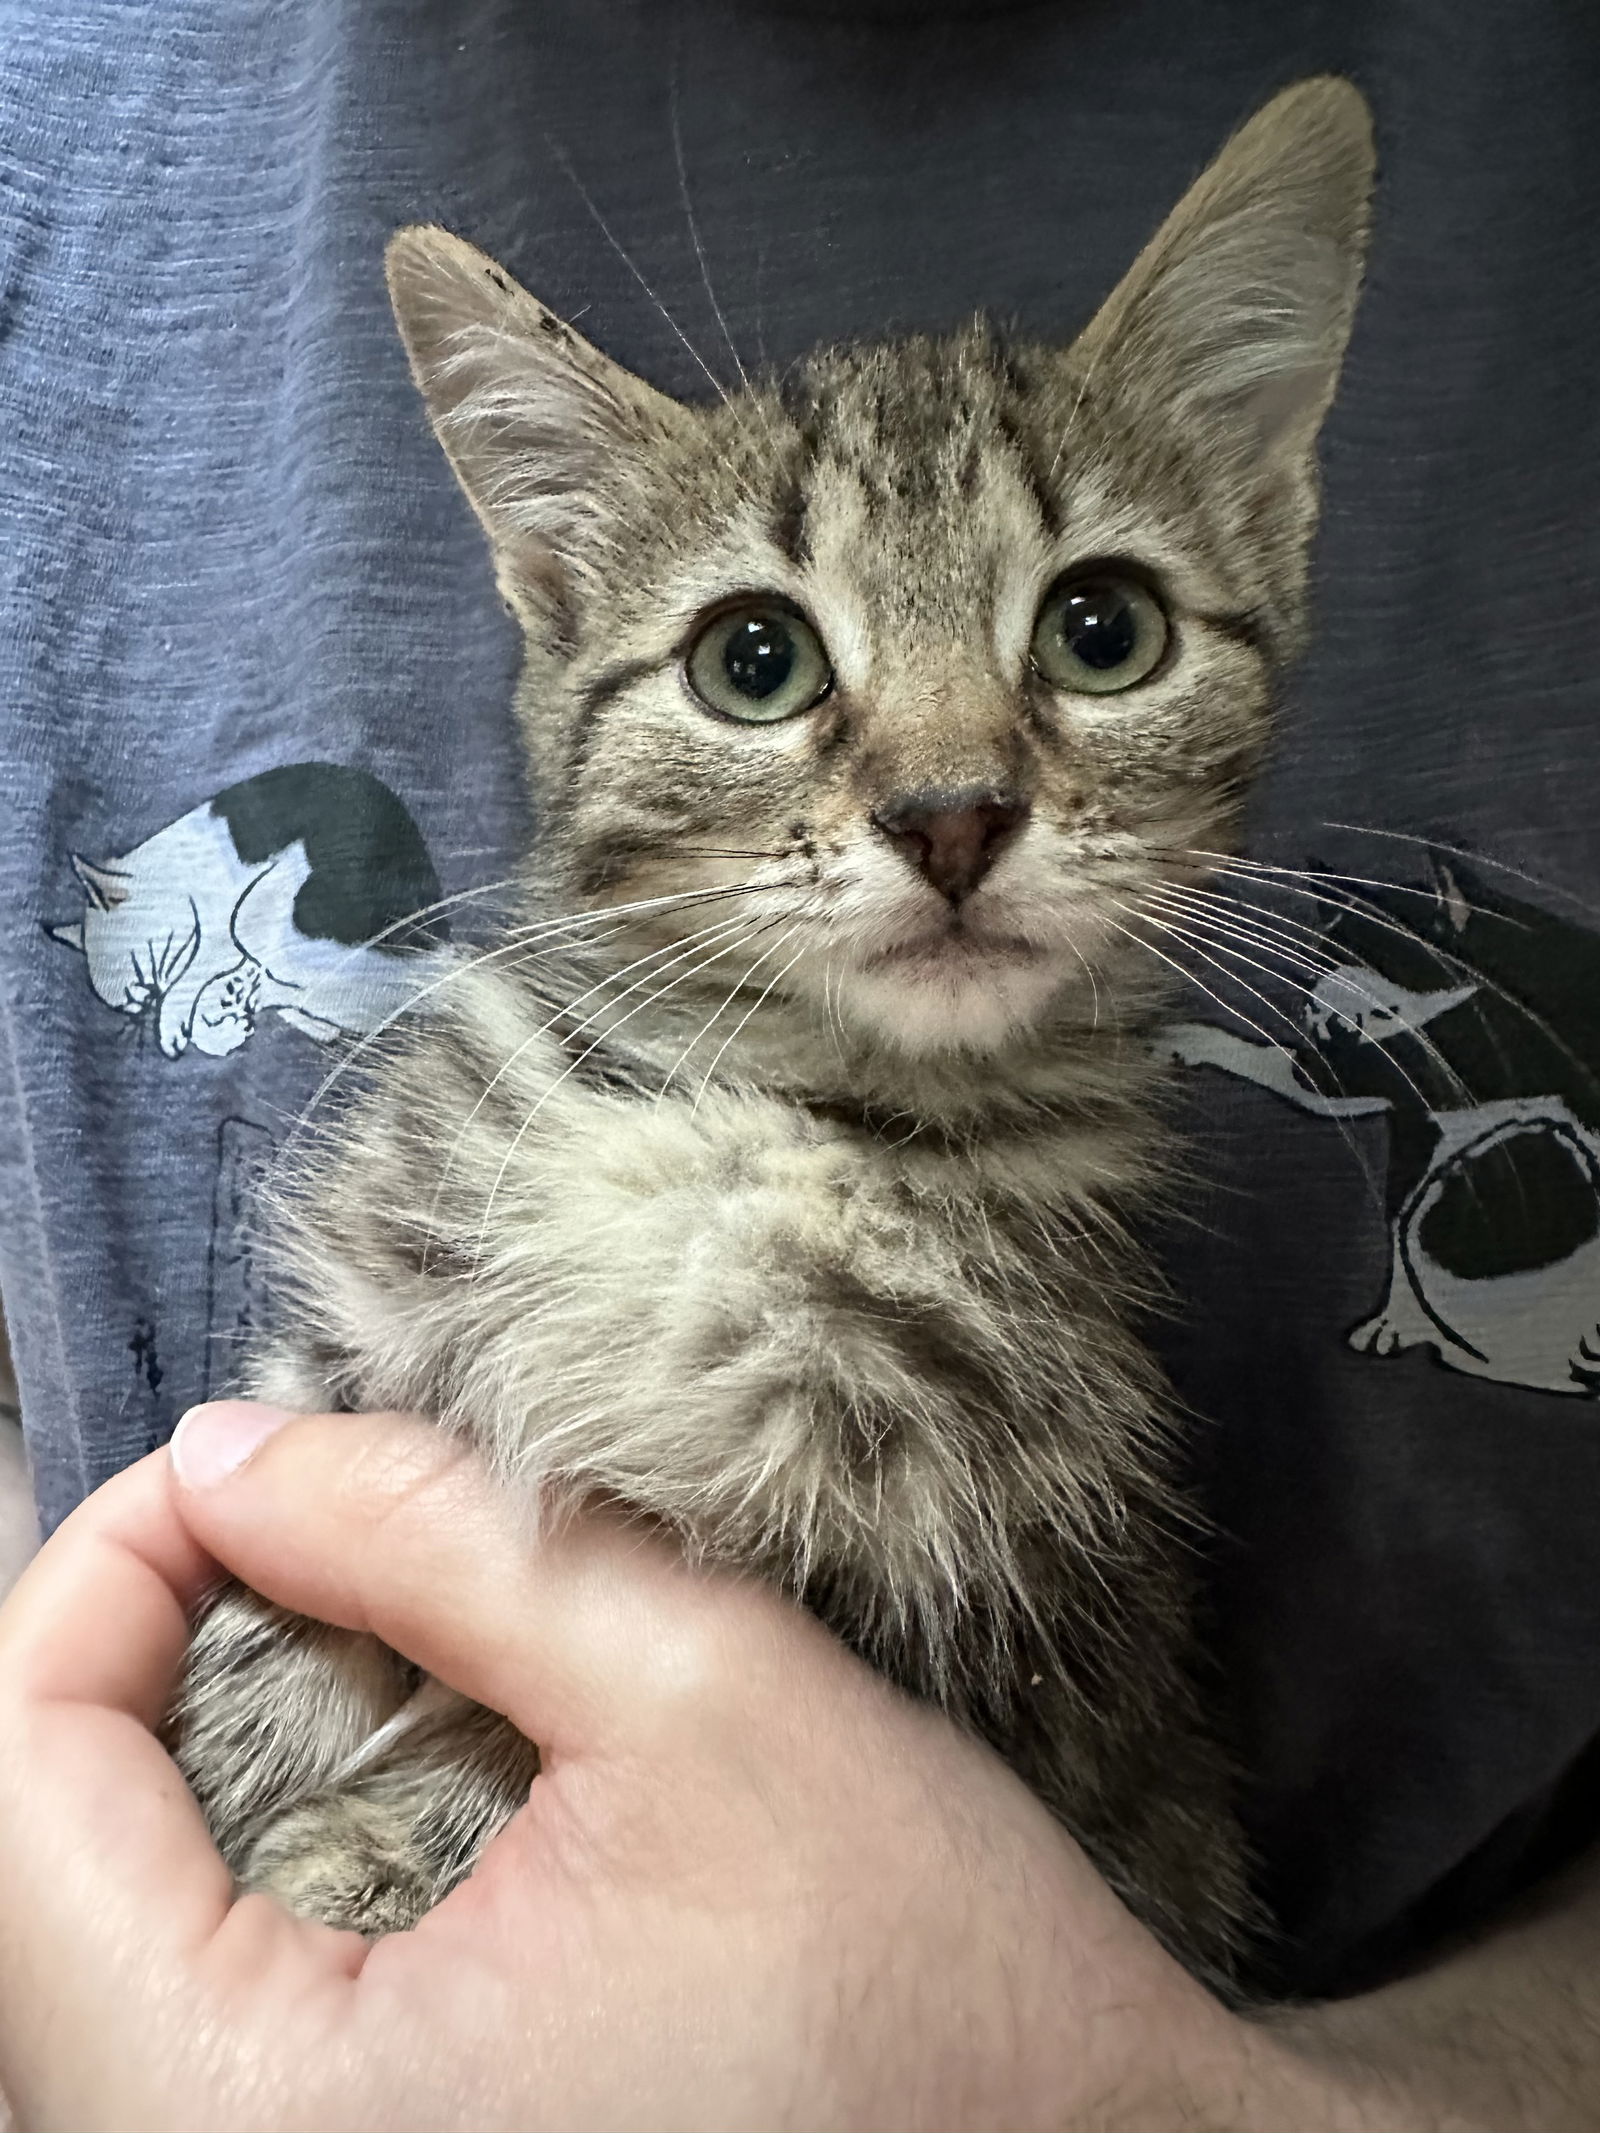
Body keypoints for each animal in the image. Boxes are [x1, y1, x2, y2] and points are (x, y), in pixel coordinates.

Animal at [174, 75, 1382, 1987]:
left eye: (1103, 629)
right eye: (755, 659)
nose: (954, 812)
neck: (765, 1114)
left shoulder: (947, 1581)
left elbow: (520, 1739)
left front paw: (381, 1844)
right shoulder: (362, 1330)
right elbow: (266, 1585)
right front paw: (239, 1749)